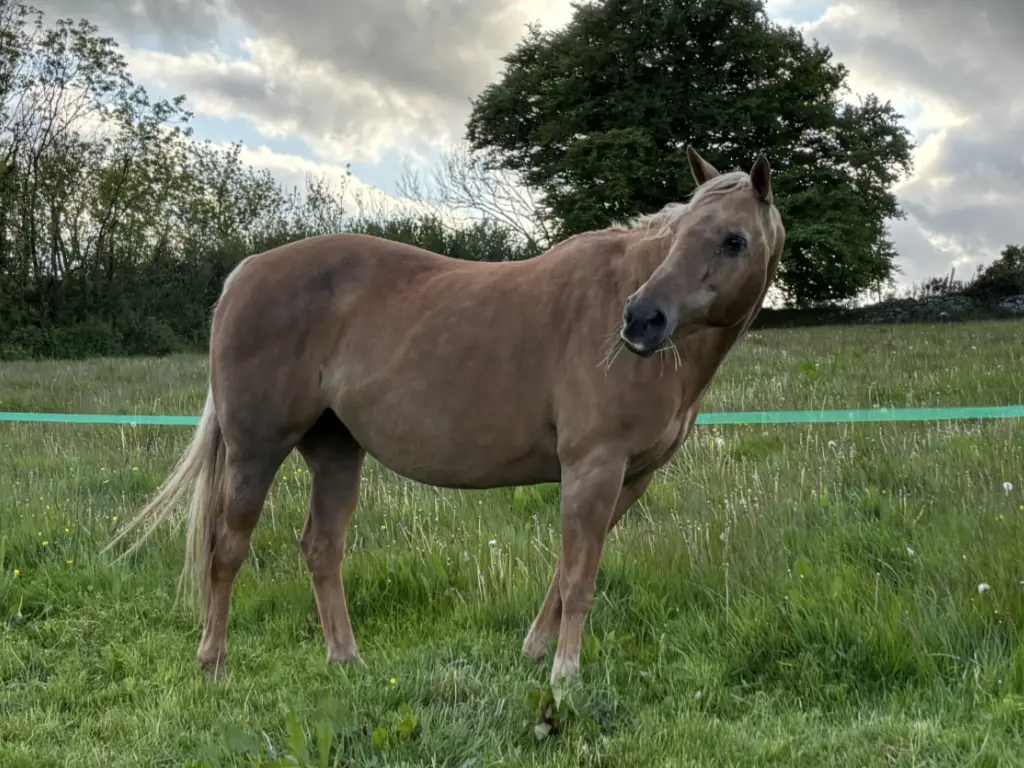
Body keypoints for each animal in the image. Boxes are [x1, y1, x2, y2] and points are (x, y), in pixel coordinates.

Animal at [108, 146, 785, 687]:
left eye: (734, 240)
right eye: (679, 234)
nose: (641, 320)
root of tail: (245, 272)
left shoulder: (630, 477)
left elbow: (566, 571)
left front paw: (536, 653)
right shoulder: (593, 467)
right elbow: (579, 580)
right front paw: (566, 676)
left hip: (336, 451)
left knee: (322, 548)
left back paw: (346, 660)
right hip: (256, 450)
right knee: (227, 548)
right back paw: (214, 663)